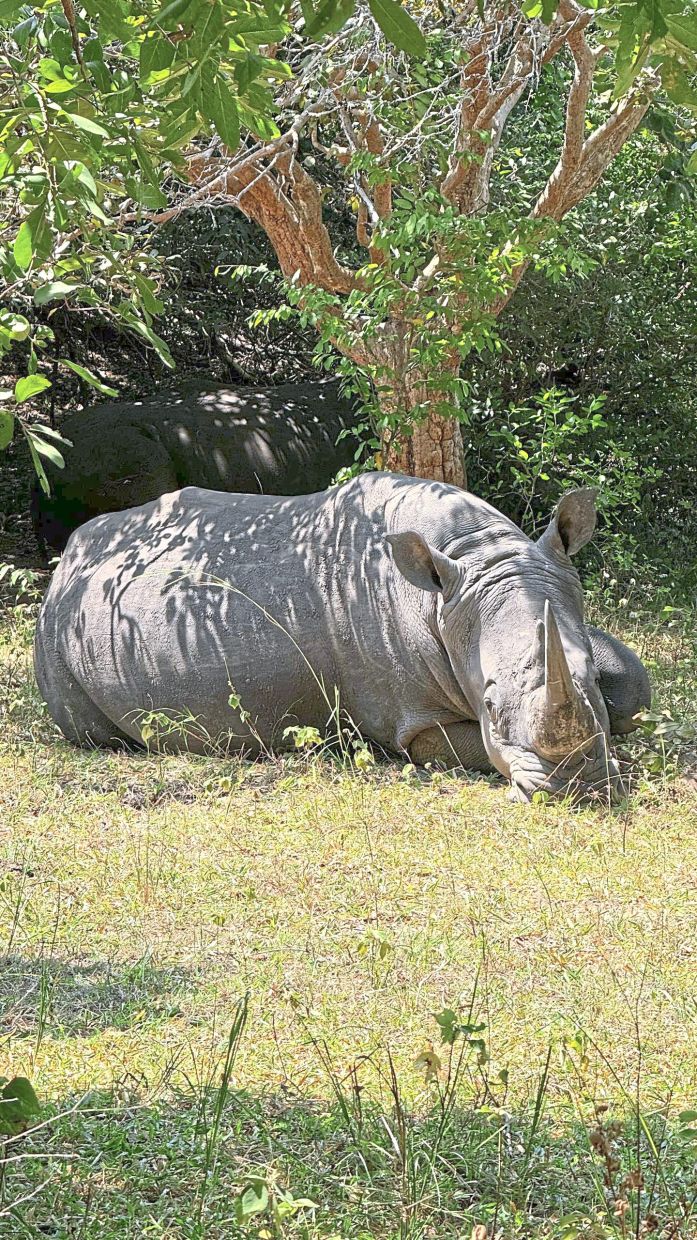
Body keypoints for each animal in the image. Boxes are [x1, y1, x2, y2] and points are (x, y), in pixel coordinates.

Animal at [33, 472, 650, 802]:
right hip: (56, 638)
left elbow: (633, 679)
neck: (473, 559)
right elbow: (447, 743)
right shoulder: (411, 720)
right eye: (492, 707)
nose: (579, 787)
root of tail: (66, 558)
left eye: (588, 678)